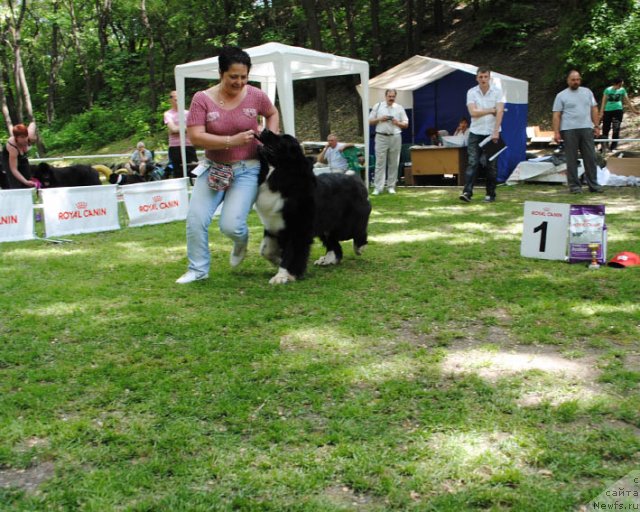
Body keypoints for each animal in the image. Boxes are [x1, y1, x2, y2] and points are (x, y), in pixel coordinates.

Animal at [251, 129, 368, 284]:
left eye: (283, 139)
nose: (264, 130)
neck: (281, 176)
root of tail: (355, 178)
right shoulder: (273, 225)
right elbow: (265, 250)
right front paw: (278, 260)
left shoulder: (298, 229)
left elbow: (292, 253)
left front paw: (283, 275)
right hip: (325, 224)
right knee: (333, 243)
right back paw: (328, 259)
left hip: (346, 224)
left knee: (357, 231)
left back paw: (359, 247)